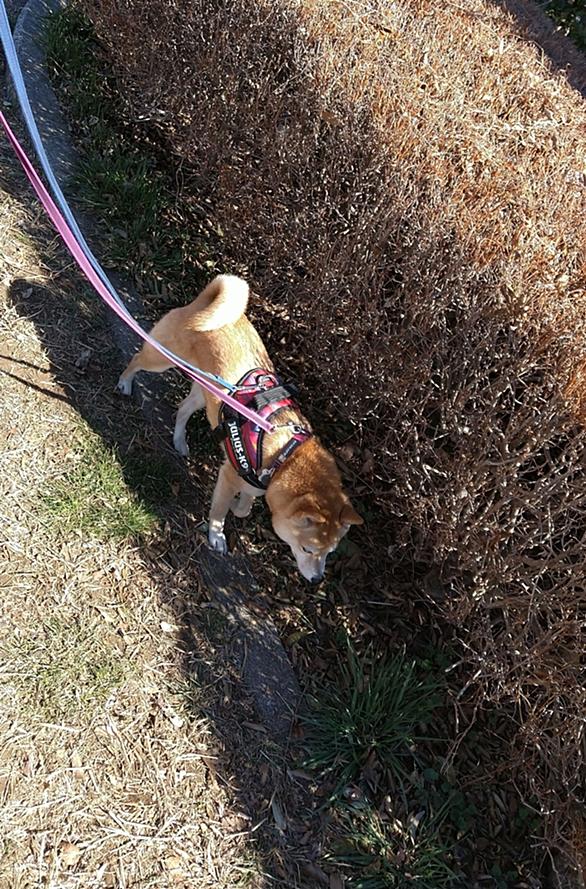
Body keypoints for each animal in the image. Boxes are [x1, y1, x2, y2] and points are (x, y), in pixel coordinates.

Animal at [117, 275, 362, 581]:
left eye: (329, 553)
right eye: (308, 549)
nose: (317, 579)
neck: (286, 454)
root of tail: (202, 303)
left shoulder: (259, 485)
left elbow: (246, 507)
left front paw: (239, 507)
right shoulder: (229, 477)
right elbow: (219, 513)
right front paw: (217, 536)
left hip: (205, 394)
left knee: (183, 410)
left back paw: (180, 441)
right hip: (161, 359)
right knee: (137, 360)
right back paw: (125, 382)